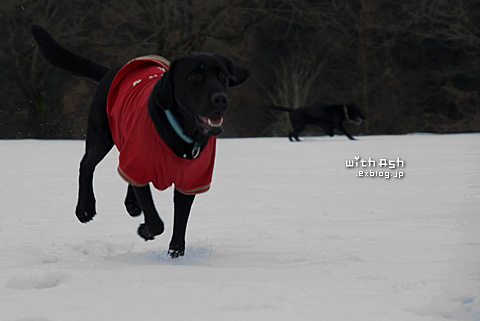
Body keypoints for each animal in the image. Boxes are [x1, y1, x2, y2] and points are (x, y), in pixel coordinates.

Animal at [31, 24, 248, 258]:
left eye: (222, 75)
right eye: (193, 77)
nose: (220, 99)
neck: (181, 135)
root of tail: (110, 71)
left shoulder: (190, 181)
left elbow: (180, 222)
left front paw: (175, 254)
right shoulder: (140, 163)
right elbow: (156, 220)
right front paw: (146, 230)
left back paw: (131, 204)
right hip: (101, 136)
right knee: (86, 164)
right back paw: (85, 208)